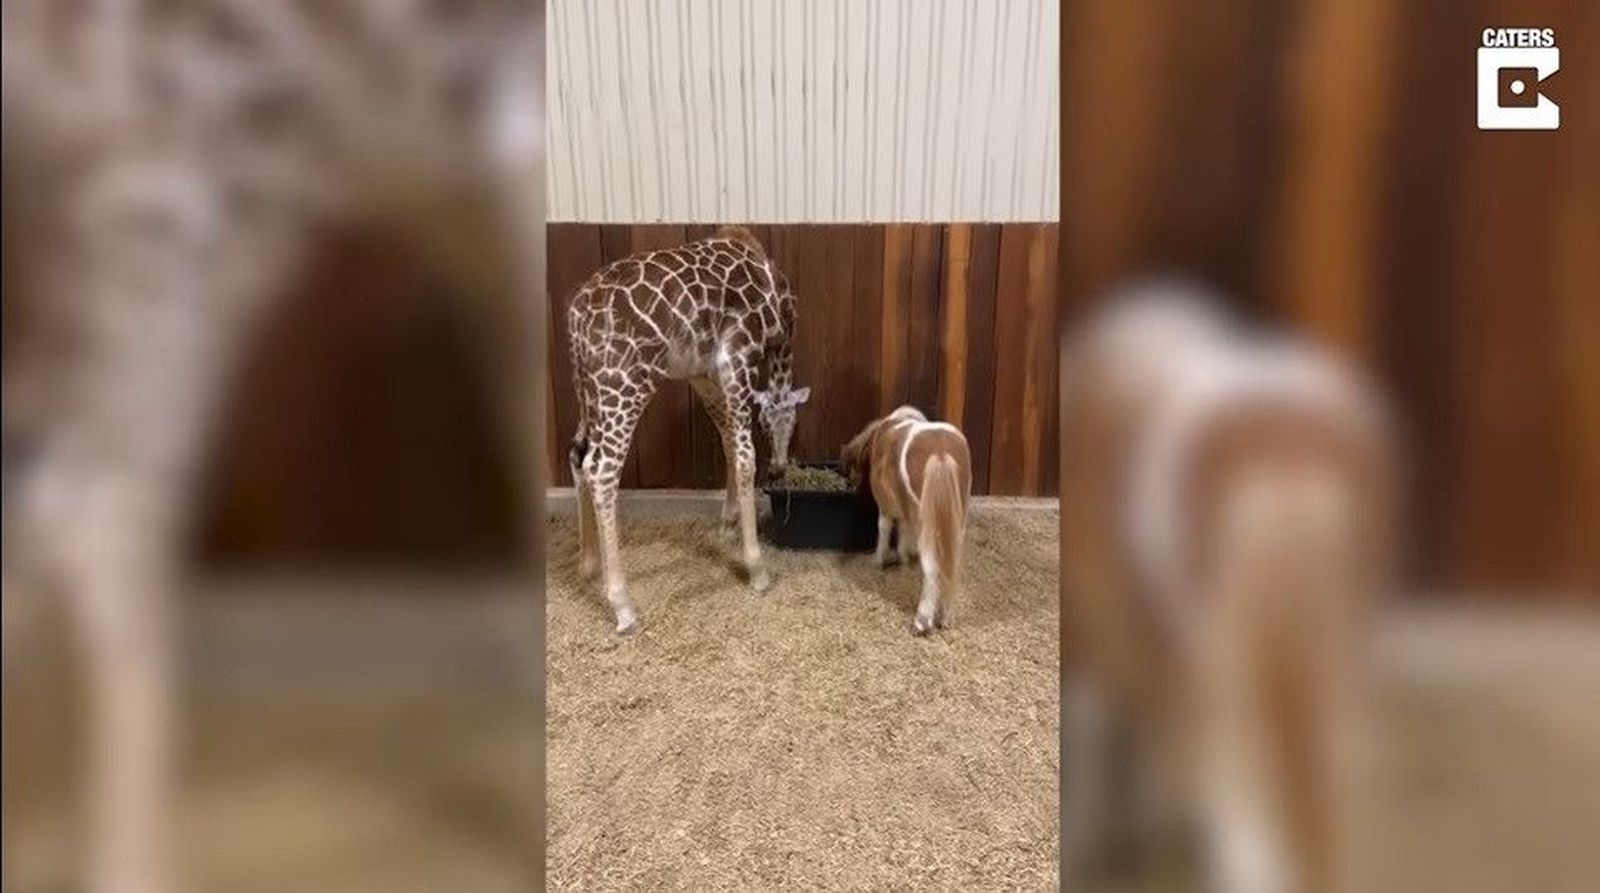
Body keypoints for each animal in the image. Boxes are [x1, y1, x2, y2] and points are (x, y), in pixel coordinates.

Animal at [566, 227, 809, 634]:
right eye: (782, 423)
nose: (779, 468)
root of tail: (575, 318)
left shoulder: (702, 373)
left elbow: (728, 442)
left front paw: (727, 526)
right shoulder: (738, 354)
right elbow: (745, 456)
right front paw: (756, 567)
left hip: (587, 388)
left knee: (577, 455)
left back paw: (588, 566)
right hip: (624, 384)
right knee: (601, 470)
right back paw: (623, 606)